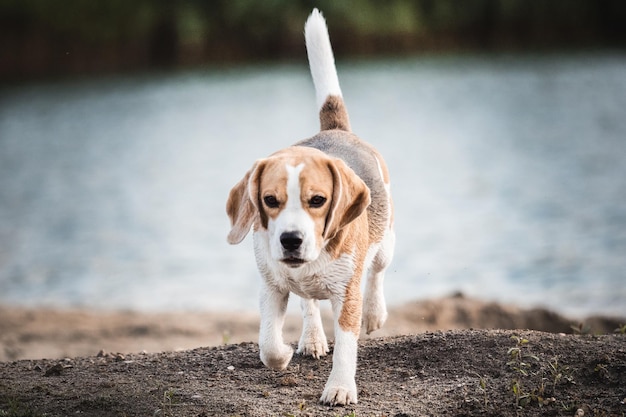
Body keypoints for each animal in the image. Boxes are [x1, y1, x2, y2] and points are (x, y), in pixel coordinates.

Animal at [224, 8, 392, 406]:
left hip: (386, 242)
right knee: (309, 303)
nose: (290, 240)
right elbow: (268, 344)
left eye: (318, 201)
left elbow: (346, 346)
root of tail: (336, 130)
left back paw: (374, 313)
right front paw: (282, 354)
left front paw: (340, 388)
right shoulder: (271, 286)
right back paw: (313, 338)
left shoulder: (347, 294)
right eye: (270, 201)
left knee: (377, 271)